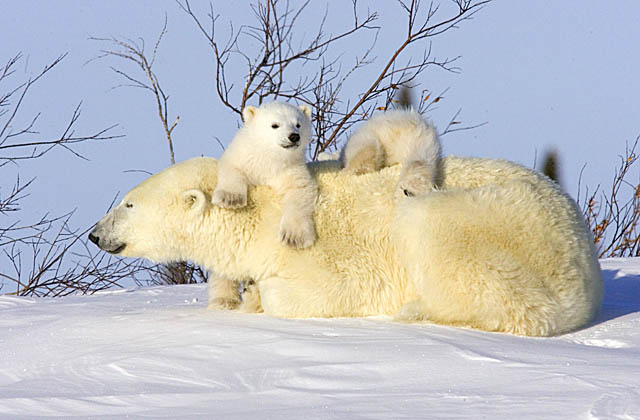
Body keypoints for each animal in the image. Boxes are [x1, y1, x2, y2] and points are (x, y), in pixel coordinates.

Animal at [89, 156, 600, 336]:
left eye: (128, 203)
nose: (94, 233)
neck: (260, 209)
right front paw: (236, 292)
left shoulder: (323, 250)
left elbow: (325, 289)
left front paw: (257, 294)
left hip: (491, 223)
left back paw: (417, 310)